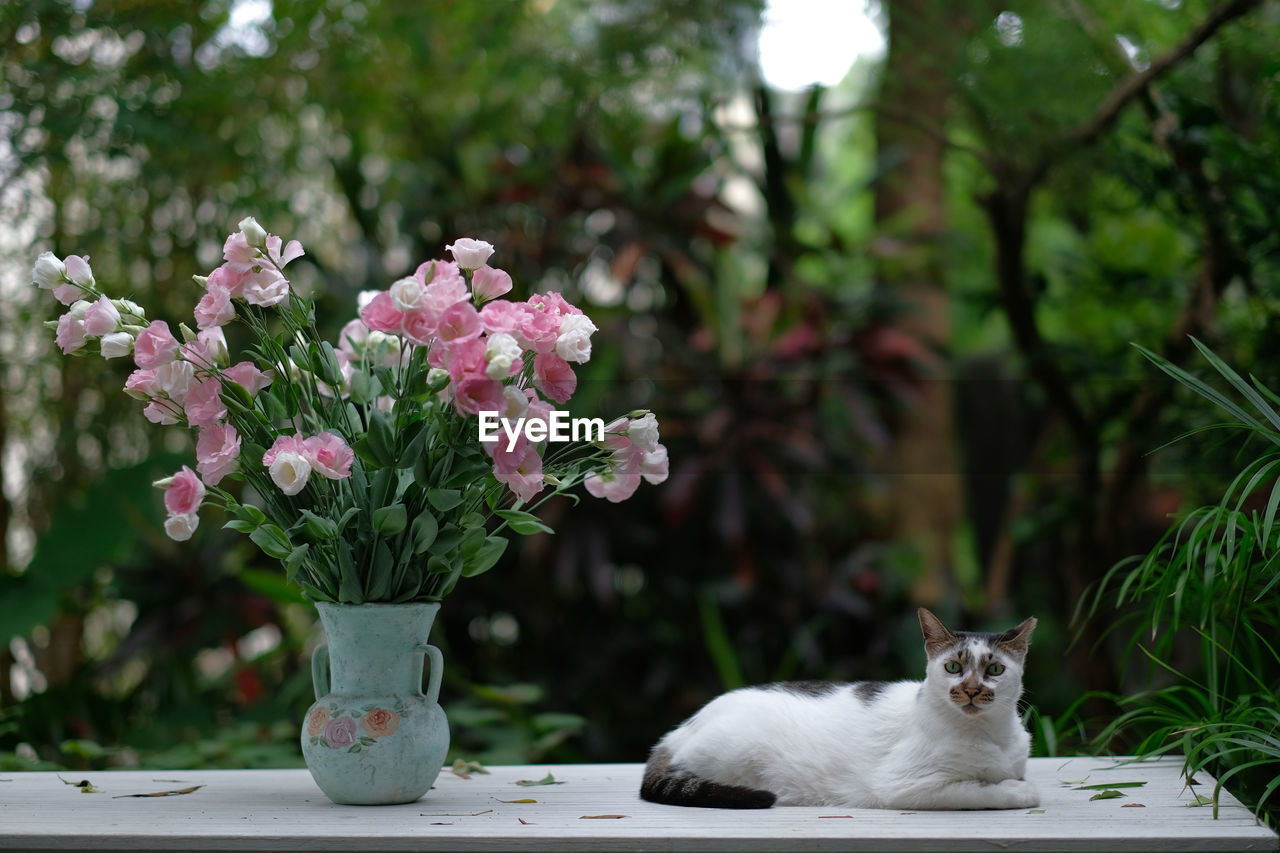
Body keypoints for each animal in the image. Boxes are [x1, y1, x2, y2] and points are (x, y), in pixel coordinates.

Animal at [640, 604, 1039, 809]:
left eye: (995, 670)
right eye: (953, 667)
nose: (971, 691)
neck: (987, 733)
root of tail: (680, 729)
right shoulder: (904, 787)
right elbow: (977, 789)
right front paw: (1014, 791)